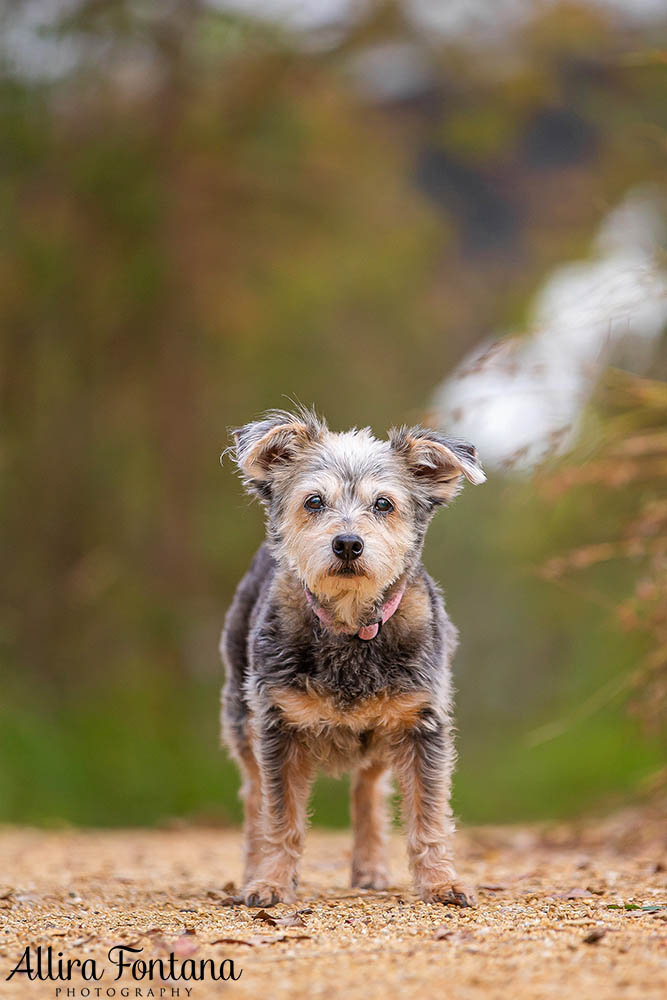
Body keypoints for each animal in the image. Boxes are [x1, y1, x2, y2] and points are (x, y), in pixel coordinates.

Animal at [219, 406, 486, 908]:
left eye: (383, 504)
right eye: (314, 501)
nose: (347, 543)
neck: (349, 629)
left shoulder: (422, 723)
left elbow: (428, 814)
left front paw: (441, 882)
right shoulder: (277, 725)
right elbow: (280, 816)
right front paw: (271, 882)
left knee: (369, 789)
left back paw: (370, 867)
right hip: (240, 716)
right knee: (252, 796)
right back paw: (249, 870)